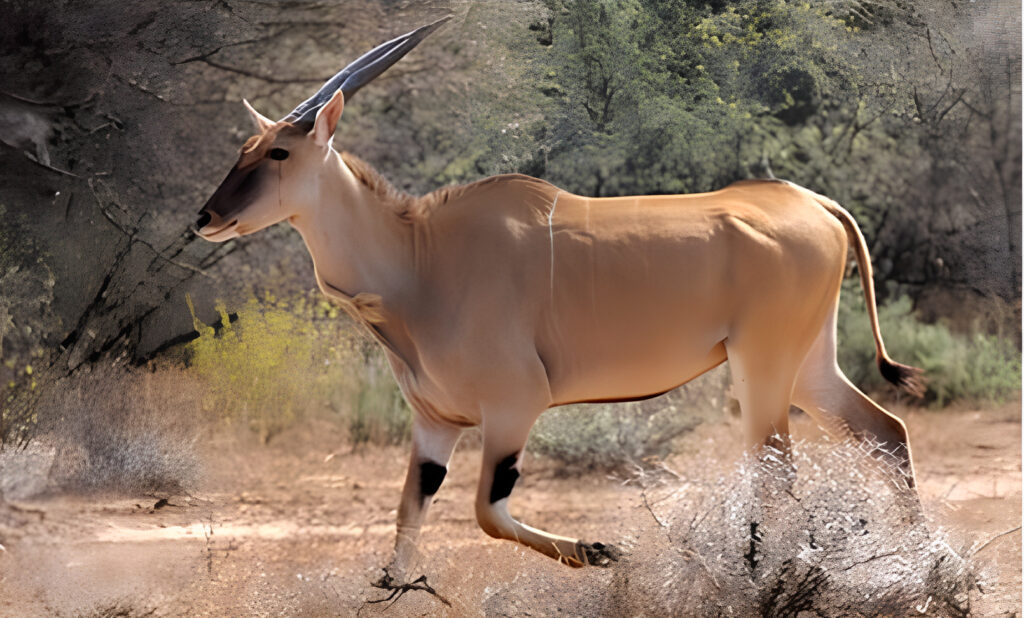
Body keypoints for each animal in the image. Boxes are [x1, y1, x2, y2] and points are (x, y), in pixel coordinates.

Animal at [193, 16, 929, 593]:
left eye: (279, 151)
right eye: (244, 148)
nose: (205, 218)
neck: (421, 257)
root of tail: (814, 203)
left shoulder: (514, 407)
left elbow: (487, 513)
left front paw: (603, 550)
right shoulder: (435, 425)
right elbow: (405, 527)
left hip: (763, 368)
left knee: (778, 469)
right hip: (807, 368)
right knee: (887, 434)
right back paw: (932, 570)